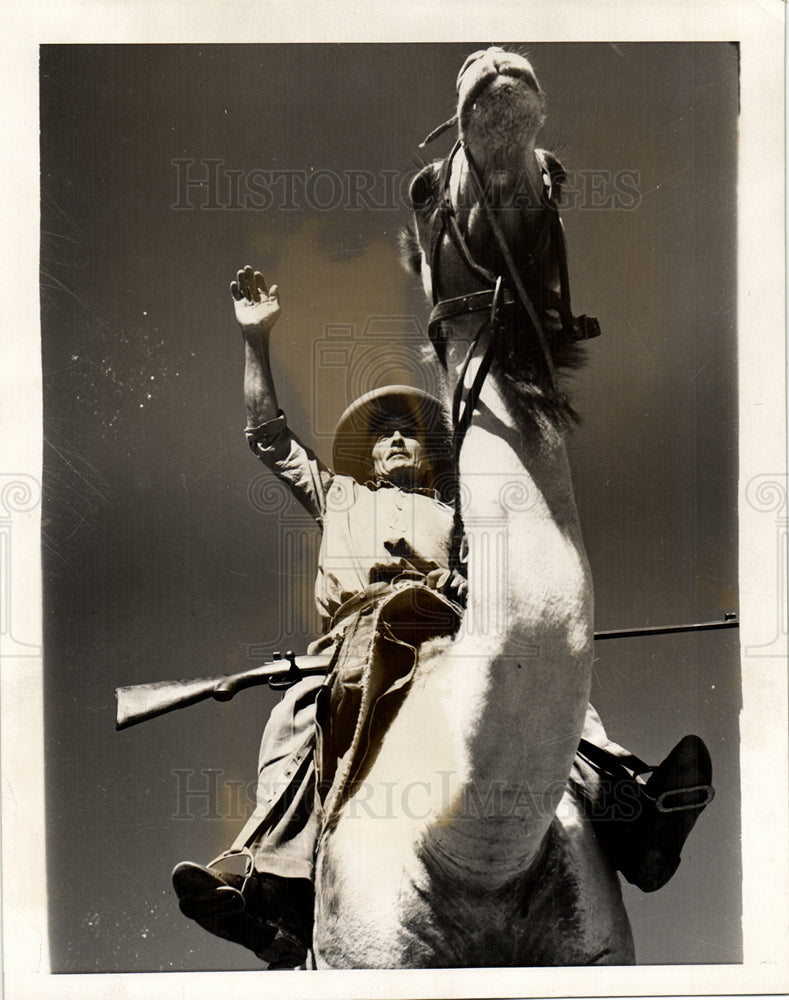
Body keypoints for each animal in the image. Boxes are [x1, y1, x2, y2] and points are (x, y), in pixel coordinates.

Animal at [308, 48, 636, 968]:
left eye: (556, 173)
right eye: (421, 189)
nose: (495, 72)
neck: (479, 850)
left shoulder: (599, 946)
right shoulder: (362, 947)